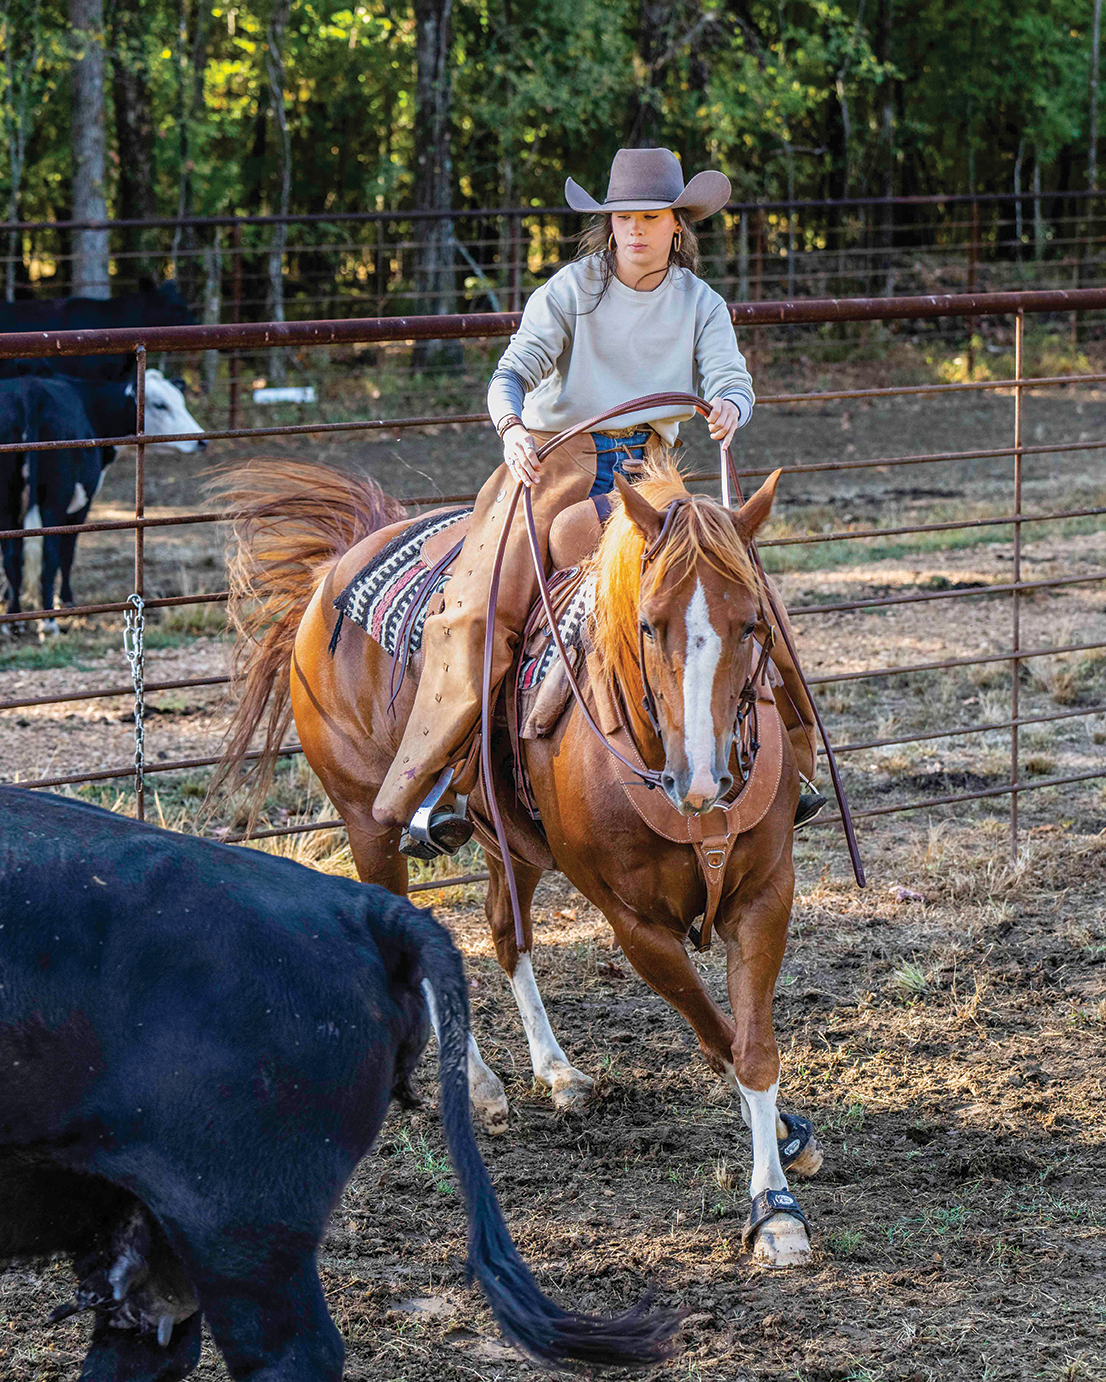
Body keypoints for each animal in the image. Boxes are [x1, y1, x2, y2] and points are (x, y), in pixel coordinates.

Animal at [0, 367, 204, 627]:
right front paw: (66, 600)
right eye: (160, 405)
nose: (201, 439)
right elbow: (67, 553)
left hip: (8, 498)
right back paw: (49, 621)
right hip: (54, 500)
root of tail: (29, 394)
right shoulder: (81, 503)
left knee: (12, 556)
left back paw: (14, 620)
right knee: (49, 555)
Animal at [214, 458, 818, 1265]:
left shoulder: (764, 896)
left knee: (507, 934)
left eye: (753, 622)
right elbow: (715, 1034)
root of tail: (344, 558)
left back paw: (556, 1071)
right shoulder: (635, 925)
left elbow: (751, 1048)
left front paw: (778, 1194)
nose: (701, 783)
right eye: (649, 624)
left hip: (509, 841)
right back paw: (476, 1085)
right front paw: (776, 1175)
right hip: (369, 824)